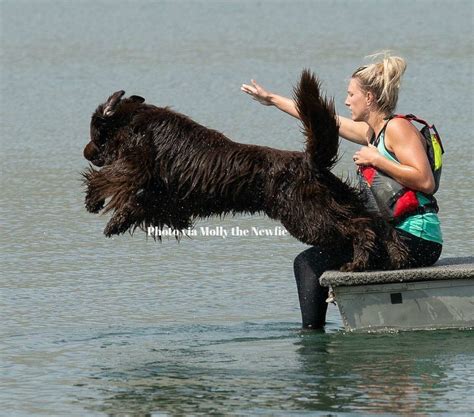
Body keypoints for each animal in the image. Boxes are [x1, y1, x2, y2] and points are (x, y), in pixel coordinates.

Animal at [81, 70, 408, 272]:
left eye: (95, 132)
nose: (86, 153)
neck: (134, 121)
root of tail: (309, 161)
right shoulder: (167, 198)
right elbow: (139, 203)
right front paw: (116, 222)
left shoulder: (136, 164)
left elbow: (110, 179)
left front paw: (96, 203)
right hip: (335, 200)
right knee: (377, 221)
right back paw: (396, 255)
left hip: (307, 217)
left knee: (360, 226)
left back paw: (358, 263)